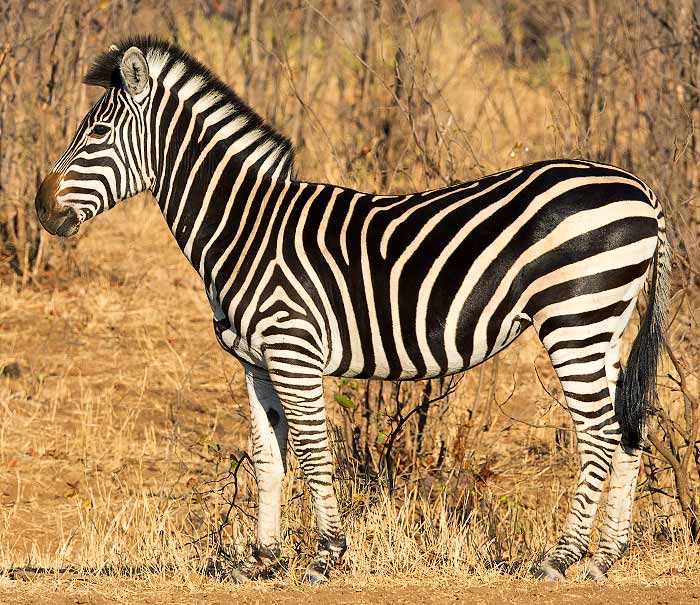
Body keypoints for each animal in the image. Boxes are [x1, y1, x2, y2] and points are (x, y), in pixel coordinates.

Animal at [35, 37, 669, 584]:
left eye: (97, 132)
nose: (40, 208)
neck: (245, 227)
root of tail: (640, 188)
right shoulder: (255, 362)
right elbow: (268, 457)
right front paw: (262, 559)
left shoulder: (293, 349)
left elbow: (314, 452)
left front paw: (326, 555)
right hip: (606, 325)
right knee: (627, 426)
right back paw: (604, 557)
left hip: (575, 317)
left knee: (598, 432)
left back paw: (561, 558)